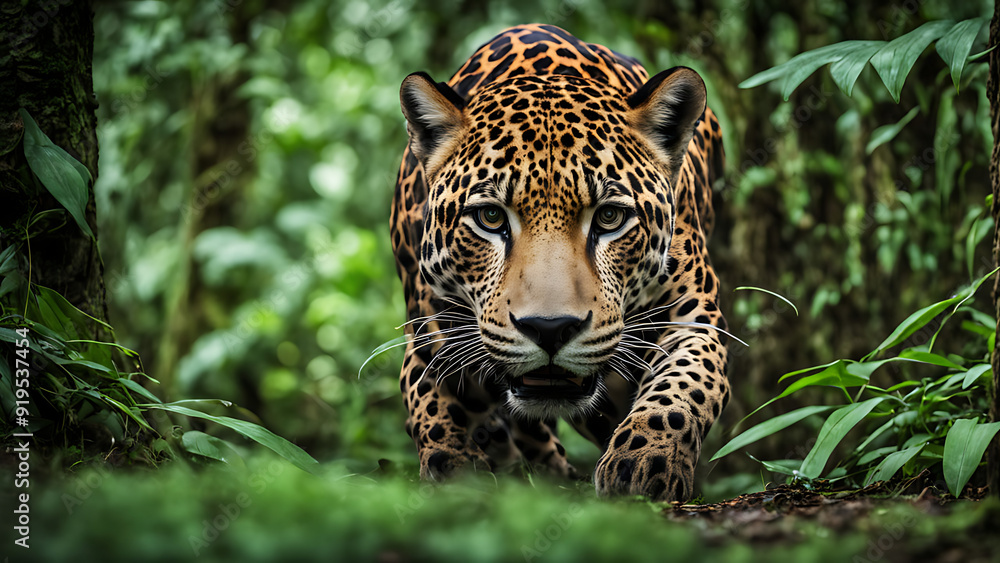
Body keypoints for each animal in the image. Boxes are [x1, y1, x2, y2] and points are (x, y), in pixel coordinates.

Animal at [391, 23, 729, 502]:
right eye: (490, 217)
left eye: (609, 217)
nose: (550, 329)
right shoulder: (431, 338)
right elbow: (433, 410)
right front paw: (456, 471)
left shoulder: (693, 317)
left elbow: (682, 390)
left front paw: (645, 462)